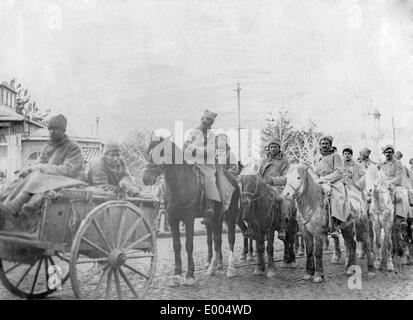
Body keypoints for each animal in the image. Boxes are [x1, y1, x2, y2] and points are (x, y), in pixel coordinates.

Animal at [142, 138, 240, 284]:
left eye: (161, 152)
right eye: (148, 152)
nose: (146, 178)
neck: (180, 183)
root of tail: (233, 179)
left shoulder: (188, 219)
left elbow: (189, 245)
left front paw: (189, 275)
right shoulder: (172, 219)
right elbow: (176, 245)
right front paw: (177, 275)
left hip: (231, 216)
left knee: (231, 239)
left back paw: (231, 269)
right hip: (215, 218)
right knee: (217, 241)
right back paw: (212, 268)